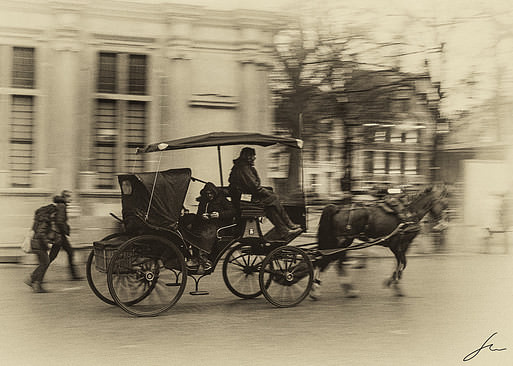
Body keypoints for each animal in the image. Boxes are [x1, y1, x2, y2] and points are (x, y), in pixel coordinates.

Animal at [310, 186, 446, 298]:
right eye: (444, 203)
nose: (443, 225)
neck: (409, 214)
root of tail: (338, 208)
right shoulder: (396, 245)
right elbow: (402, 263)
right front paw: (394, 283)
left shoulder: (403, 245)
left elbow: (399, 263)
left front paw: (393, 282)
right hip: (344, 241)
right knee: (330, 261)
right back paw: (325, 288)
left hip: (340, 242)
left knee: (330, 261)